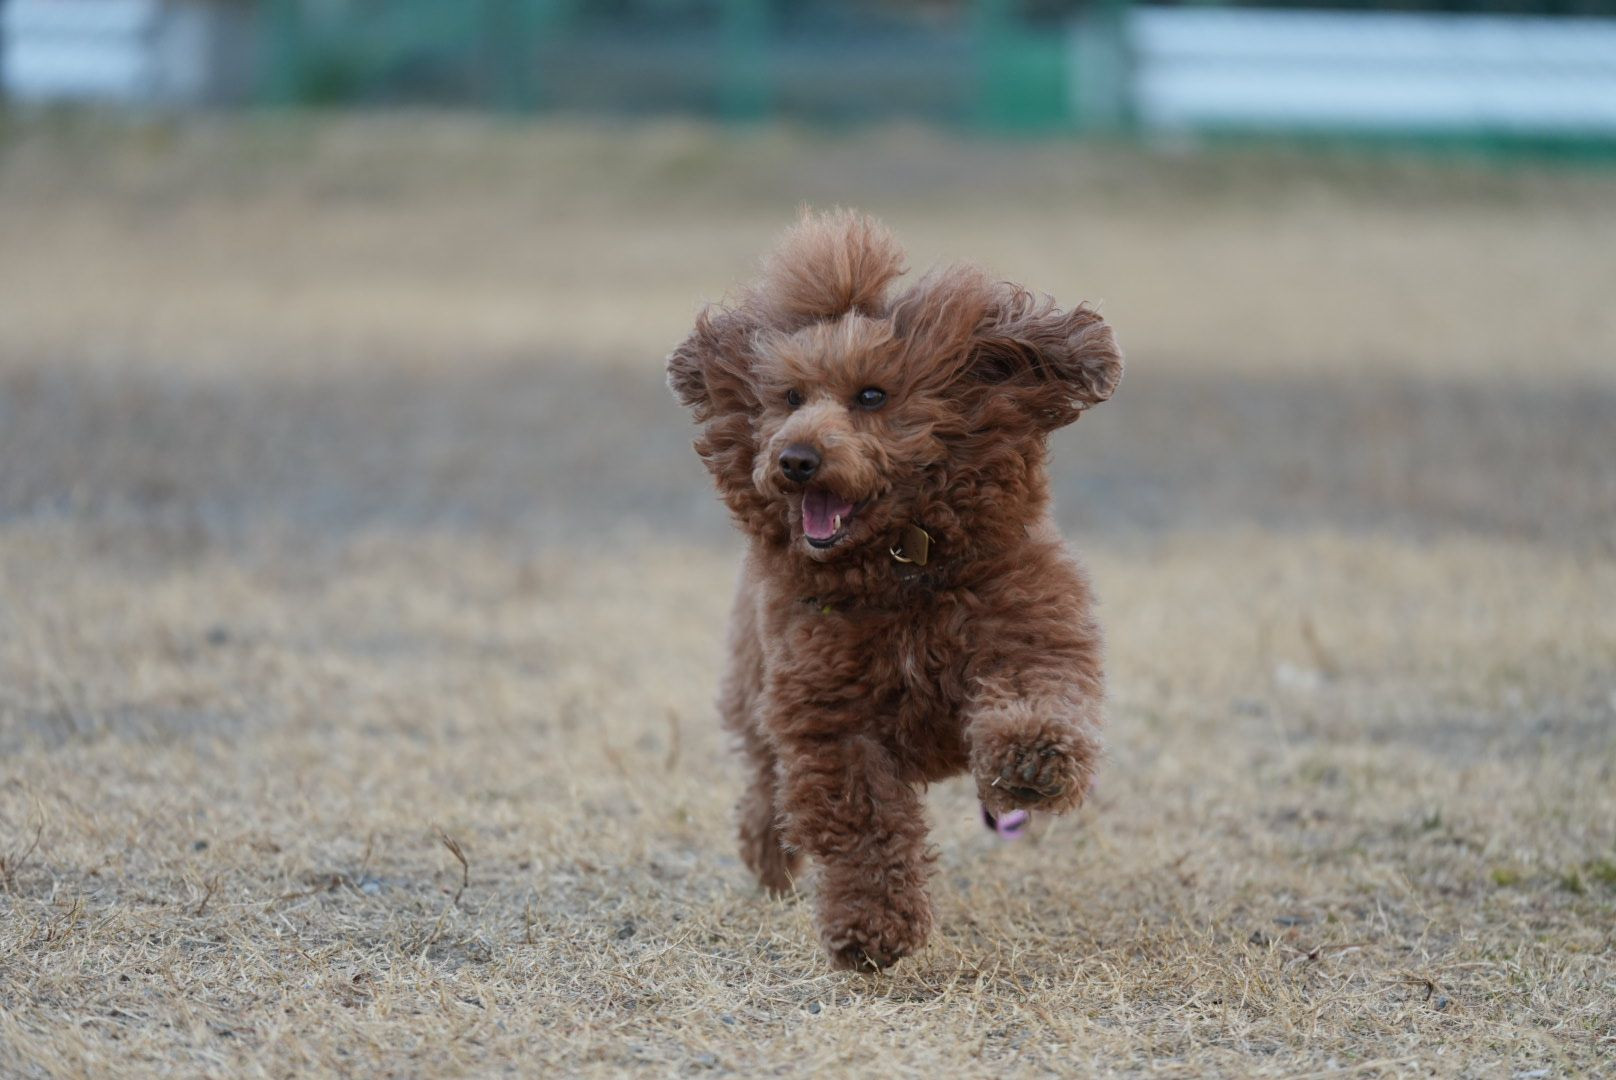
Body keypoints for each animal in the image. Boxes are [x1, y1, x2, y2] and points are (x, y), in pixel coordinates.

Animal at [666, 209, 1122, 971]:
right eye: (789, 399)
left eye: (872, 396)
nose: (794, 459)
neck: (902, 567)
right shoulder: (829, 718)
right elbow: (861, 823)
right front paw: (872, 930)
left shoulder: (1029, 629)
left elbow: (1038, 694)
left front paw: (1033, 762)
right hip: (752, 685)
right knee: (764, 781)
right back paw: (770, 859)